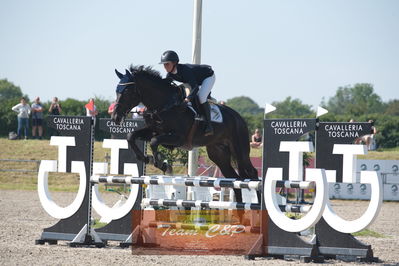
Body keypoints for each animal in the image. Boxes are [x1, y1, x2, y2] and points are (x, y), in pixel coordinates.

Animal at [111, 65, 260, 202]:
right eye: (117, 90)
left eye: (127, 92)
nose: (115, 118)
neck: (165, 105)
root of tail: (239, 118)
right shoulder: (153, 130)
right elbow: (131, 136)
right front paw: (146, 158)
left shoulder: (179, 138)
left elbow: (154, 141)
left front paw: (161, 163)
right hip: (218, 153)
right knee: (234, 178)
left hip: (240, 150)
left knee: (251, 173)